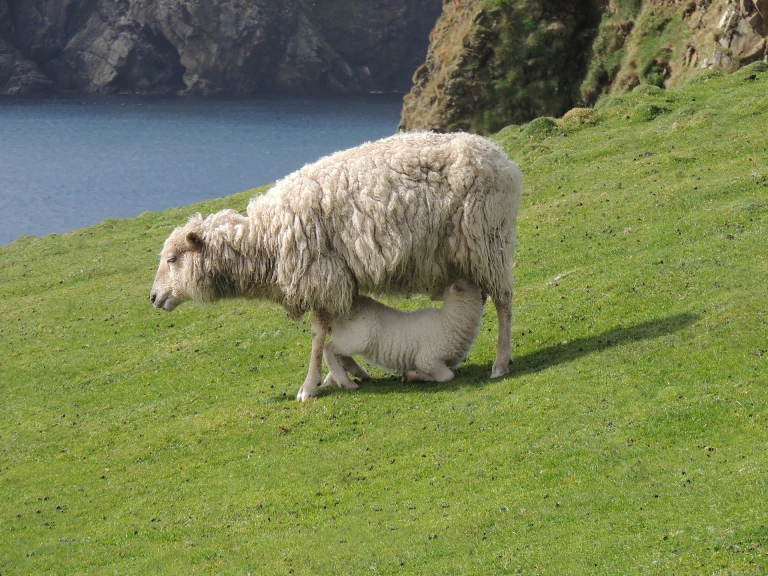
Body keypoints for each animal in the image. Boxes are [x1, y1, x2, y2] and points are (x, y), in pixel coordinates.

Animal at [322, 278, 485, 389]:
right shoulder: (428, 358)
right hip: (357, 340)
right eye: (470, 281)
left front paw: (412, 375)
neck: (450, 320)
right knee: (328, 348)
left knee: (340, 354)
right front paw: (415, 375)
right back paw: (346, 382)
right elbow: (447, 376)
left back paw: (354, 374)